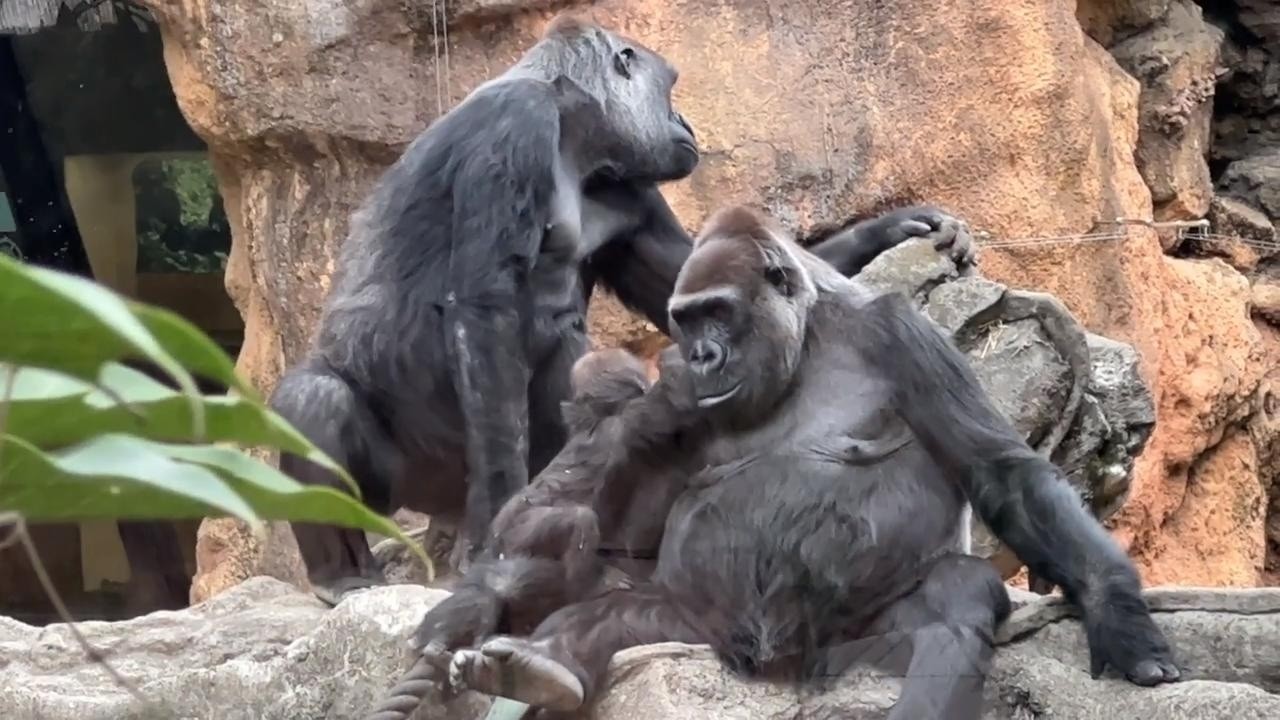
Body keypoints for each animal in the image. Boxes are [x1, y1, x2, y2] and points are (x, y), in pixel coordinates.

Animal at [438, 205, 1181, 719]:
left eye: (718, 312)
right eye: (687, 319)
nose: (701, 355)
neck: (803, 343)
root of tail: (773, 667)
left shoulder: (899, 331)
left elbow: (1002, 473)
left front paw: (1117, 612)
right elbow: (607, 526)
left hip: (851, 646)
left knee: (951, 603)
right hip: (694, 628)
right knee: (621, 612)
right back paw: (540, 662)